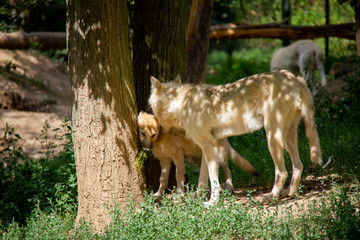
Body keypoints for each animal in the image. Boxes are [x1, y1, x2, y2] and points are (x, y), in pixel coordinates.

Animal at [148, 70, 322, 205]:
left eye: (151, 107)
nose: (160, 129)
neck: (180, 103)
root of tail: (294, 78)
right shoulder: (207, 146)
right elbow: (203, 180)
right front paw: (197, 198)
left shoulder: (208, 145)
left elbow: (214, 181)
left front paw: (212, 203)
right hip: (287, 138)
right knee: (298, 166)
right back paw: (290, 193)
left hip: (272, 139)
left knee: (282, 172)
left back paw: (271, 197)